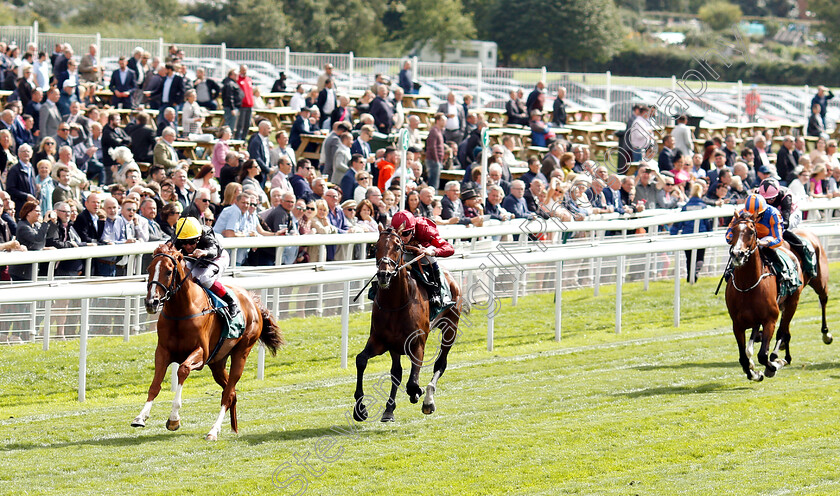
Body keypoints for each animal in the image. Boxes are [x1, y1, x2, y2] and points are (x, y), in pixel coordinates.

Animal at [133, 242, 284, 440]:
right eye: (149, 269)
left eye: (168, 271)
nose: (152, 302)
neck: (181, 311)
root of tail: (252, 302)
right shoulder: (163, 351)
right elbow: (155, 385)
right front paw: (140, 417)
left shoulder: (201, 353)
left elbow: (183, 369)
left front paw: (174, 419)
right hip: (217, 363)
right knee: (231, 392)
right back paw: (232, 429)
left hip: (241, 352)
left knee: (228, 393)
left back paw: (213, 431)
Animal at [352, 228, 462, 422]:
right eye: (375, 247)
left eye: (397, 246)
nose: (384, 274)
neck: (395, 303)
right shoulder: (381, 341)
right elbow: (361, 360)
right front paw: (360, 409)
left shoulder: (417, 343)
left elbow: (412, 381)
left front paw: (417, 392)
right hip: (395, 346)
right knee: (396, 371)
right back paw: (389, 409)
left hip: (451, 328)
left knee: (440, 364)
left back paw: (428, 400)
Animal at [724, 211, 804, 382]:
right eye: (733, 230)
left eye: (751, 232)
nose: (737, 254)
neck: (747, 287)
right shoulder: (737, 325)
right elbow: (743, 358)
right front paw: (754, 373)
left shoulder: (770, 320)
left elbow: (763, 355)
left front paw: (773, 366)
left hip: (792, 303)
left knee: (783, 331)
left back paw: (781, 358)